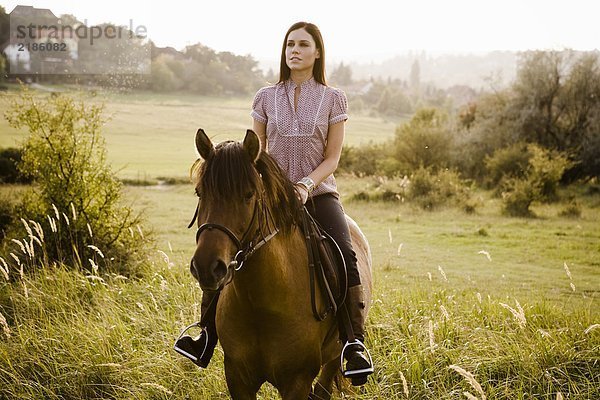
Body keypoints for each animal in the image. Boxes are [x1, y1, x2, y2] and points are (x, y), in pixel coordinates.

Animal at [190, 130, 372, 398]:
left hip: (333, 356)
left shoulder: (297, 381)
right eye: (200, 193)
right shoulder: (236, 377)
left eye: (249, 194)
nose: (207, 267)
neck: (259, 304)